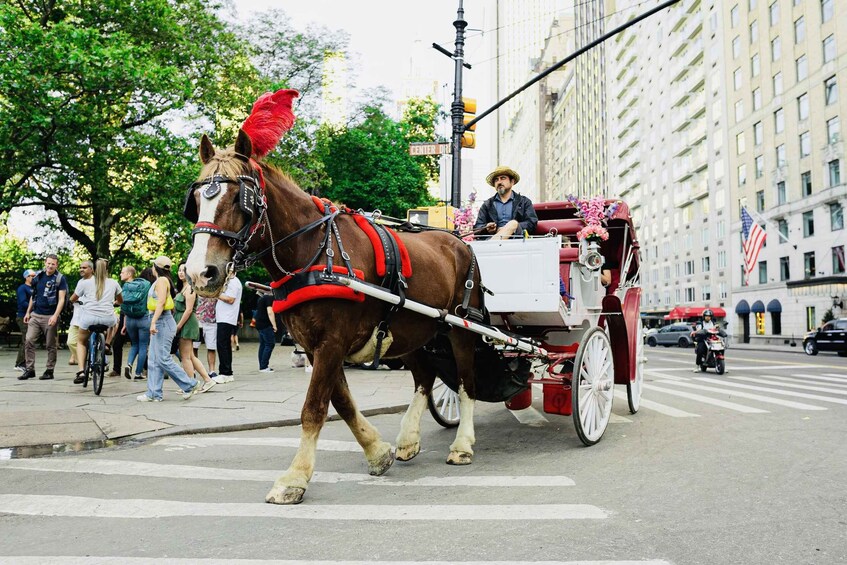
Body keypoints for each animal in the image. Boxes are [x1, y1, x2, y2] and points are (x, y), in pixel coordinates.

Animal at [187, 130, 484, 504]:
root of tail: (461, 242)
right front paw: (377, 452)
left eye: (242, 200)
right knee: (425, 378)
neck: (315, 251)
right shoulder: (316, 346)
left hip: (462, 327)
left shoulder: (332, 342)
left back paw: (462, 444)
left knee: (466, 382)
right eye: (197, 199)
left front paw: (294, 478)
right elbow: (341, 402)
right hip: (411, 331)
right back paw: (408, 438)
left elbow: (314, 408)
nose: (200, 273)